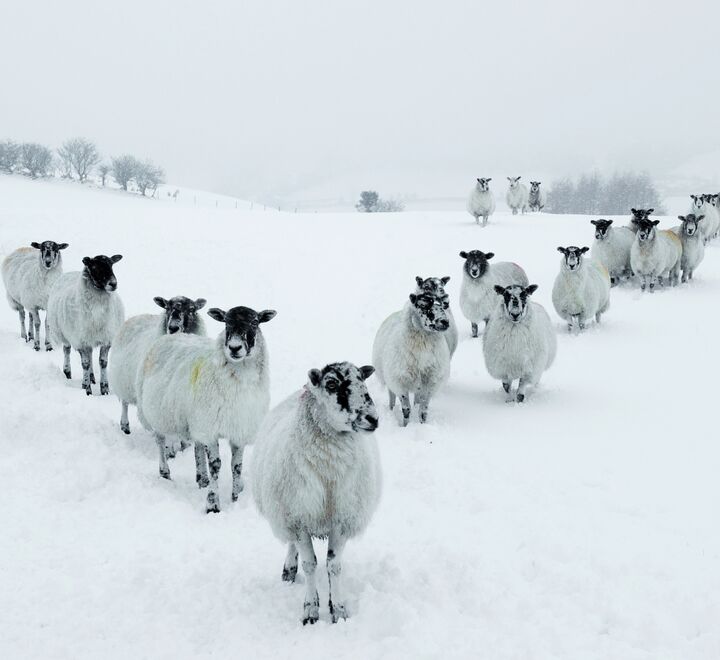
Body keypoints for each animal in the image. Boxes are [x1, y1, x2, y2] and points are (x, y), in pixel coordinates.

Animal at [47, 255, 125, 395]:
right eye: (95, 267)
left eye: (111, 265)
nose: (113, 284)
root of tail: (71, 273)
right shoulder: (81, 342)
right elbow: (85, 364)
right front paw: (87, 388)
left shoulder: (106, 339)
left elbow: (103, 363)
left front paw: (104, 388)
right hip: (65, 334)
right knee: (67, 351)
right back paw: (68, 372)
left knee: (90, 353)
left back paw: (92, 377)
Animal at [108, 295, 207, 435]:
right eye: (167, 308)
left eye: (191, 309)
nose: (173, 328)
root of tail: (136, 317)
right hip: (122, 382)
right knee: (124, 404)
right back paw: (125, 426)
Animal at [136, 305, 276, 512]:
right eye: (226, 322)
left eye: (254, 322)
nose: (234, 348)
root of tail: (170, 336)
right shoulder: (211, 429)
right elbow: (216, 466)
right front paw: (213, 503)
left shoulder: (239, 429)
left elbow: (236, 466)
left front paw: (235, 496)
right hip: (157, 413)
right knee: (160, 441)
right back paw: (165, 472)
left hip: (196, 419)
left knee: (197, 446)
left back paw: (201, 478)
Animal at [252, 362, 380, 625]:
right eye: (331, 384)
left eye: (363, 379)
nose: (373, 418)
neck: (329, 471)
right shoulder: (299, 518)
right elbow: (310, 564)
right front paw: (310, 609)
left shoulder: (341, 520)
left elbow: (334, 567)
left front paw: (337, 609)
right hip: (286, 511)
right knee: (292, 545)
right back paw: (289, 569)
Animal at [372, 289, 450, 426]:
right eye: (423, 305)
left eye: (443, 305)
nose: (445, 322)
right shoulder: (400, 382)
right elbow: (406, 409)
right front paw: (405, 426)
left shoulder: (430, 383)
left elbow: (423, 411)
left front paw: (422, 425)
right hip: (389, 377)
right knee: (391, 396)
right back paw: (391, 410)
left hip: (420, 383)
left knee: (417, 400)